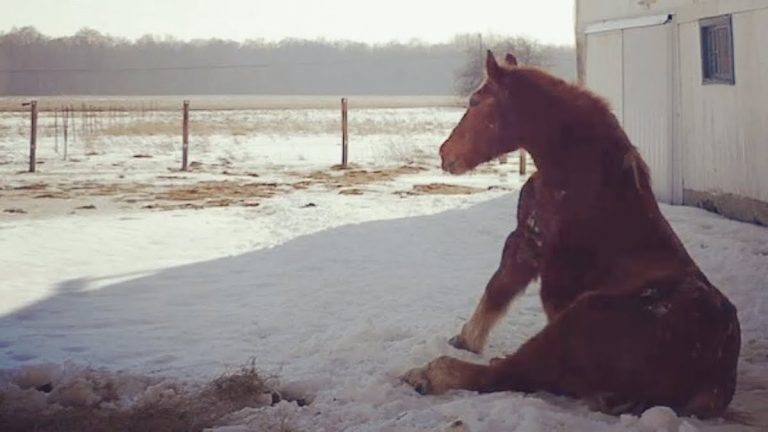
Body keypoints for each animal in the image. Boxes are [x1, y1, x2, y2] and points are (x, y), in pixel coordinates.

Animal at [403, 50, 741, 418]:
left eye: (475, 101)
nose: (445, 154)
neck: (581, 179)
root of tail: (712, 383)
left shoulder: (526, 243)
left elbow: (497, 288)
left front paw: (465, 341)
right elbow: (496, 292)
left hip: (574, 321)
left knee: (504, 374)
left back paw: (426, 374)